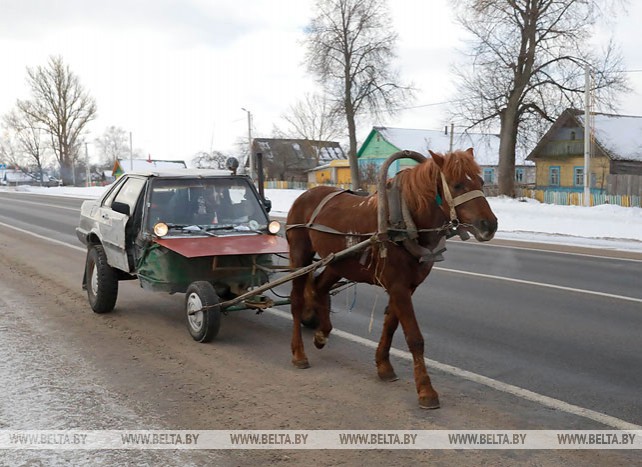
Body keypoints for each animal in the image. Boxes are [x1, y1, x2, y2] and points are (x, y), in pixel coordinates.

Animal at [284, 148, 496, 408]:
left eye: (481, 181)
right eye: (456, 185)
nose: (489, 225)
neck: (404, 221)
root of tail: (306, 194)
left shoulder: (408, 286)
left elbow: (391, 325)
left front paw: (383, 365)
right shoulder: (398, 286)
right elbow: (414, 337)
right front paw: (425, 389)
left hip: (338, 262)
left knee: (318, 288)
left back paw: (322, 333)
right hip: (300, 256)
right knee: (297, 301)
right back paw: (298, 353)